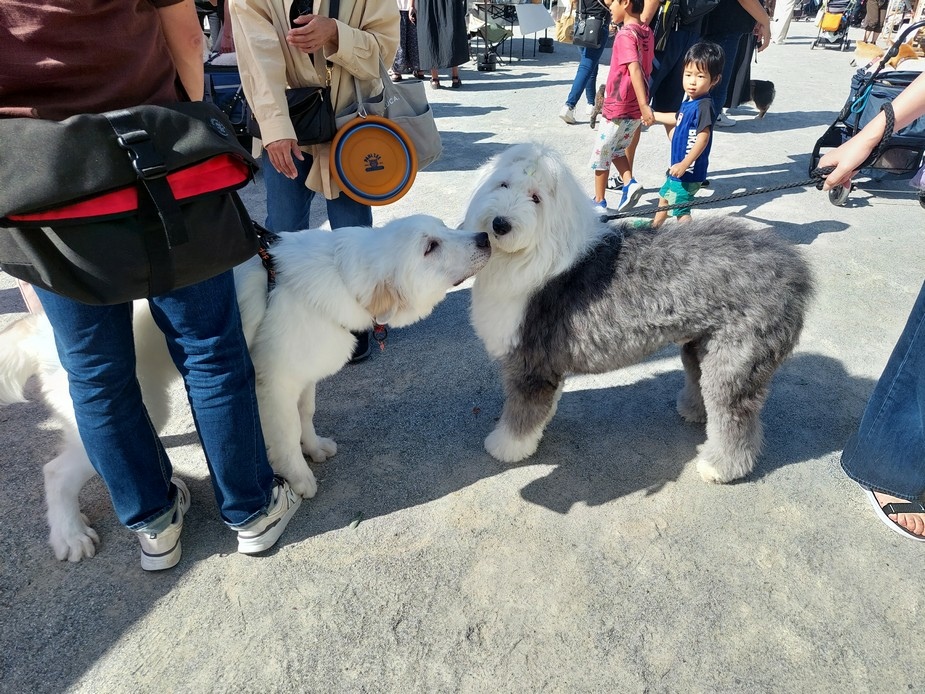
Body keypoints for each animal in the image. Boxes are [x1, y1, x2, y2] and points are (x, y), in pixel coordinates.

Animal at [0, 215, 490, 564]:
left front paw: (315, 447)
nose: (485, 237)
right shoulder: (272, 384)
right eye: (430, 247)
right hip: (131, 402)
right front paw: (299, 478)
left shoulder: (301, 377)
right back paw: (71, 536)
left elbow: (306, 417)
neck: (341, 277)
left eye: (446, 228)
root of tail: (41, 328)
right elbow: (285, 438)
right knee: (56, 472)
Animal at [462, 145, 808, 486]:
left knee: (734, 413)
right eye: (502, 185)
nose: (500, 224)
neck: (532, 255)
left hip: (737, 357)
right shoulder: (549, 362)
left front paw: (506, 446)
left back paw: (721, 467)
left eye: (536, 198)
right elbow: (545, 402)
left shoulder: (530, 361)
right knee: (700, 380)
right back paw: (694, 411)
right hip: (702, 345)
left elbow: (522, 411)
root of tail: (793, 265)